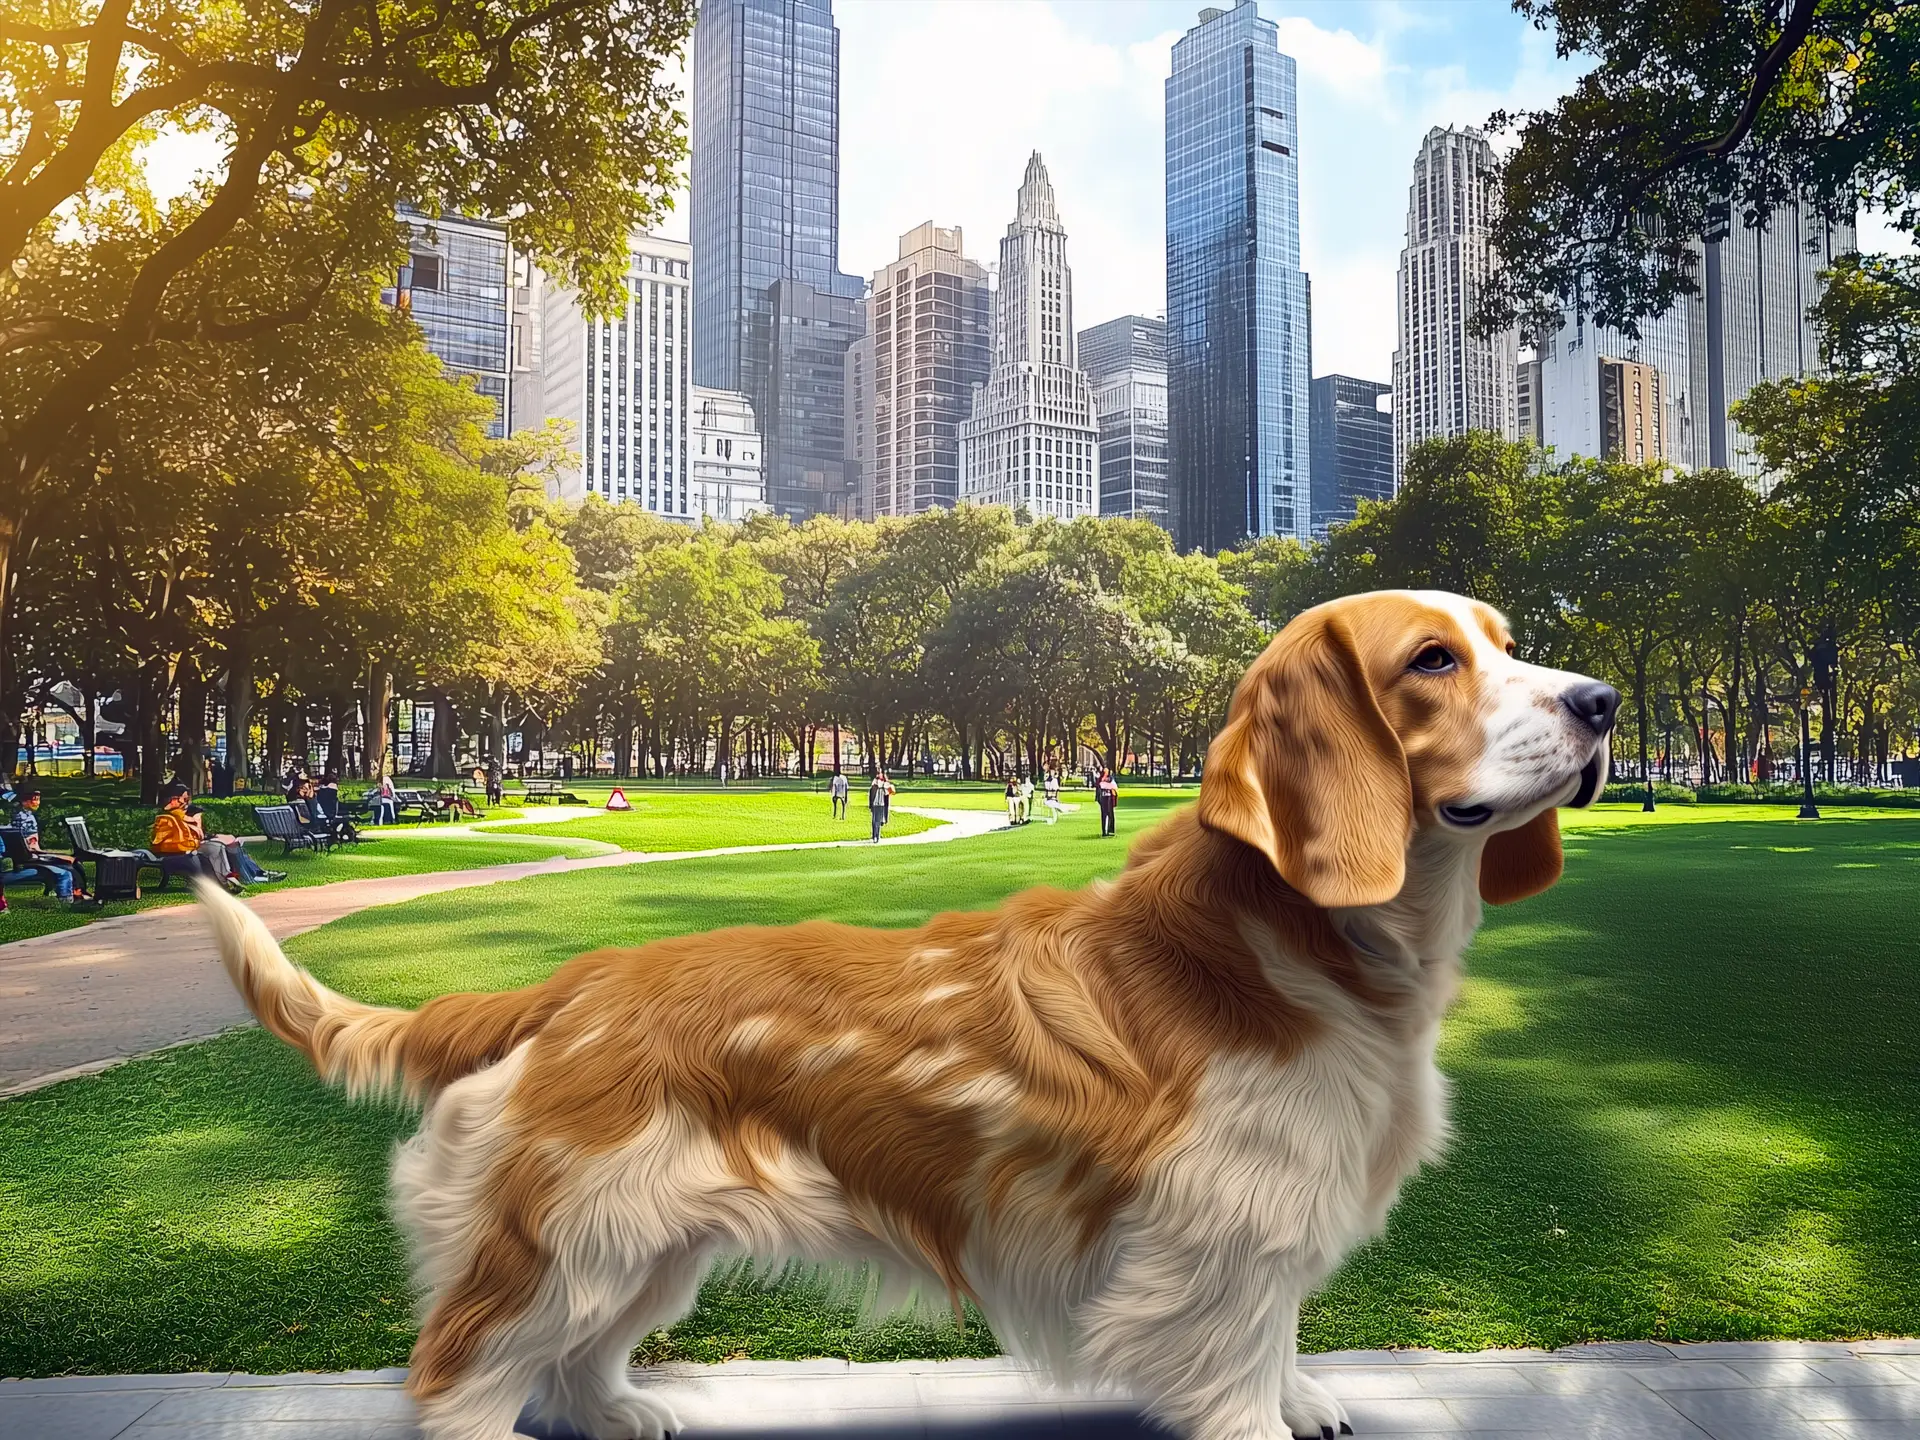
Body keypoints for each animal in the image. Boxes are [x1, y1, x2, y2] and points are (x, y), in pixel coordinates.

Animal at [202, 587, 1620, 1440]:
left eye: (1506, 641)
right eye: (1432, 660)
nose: (1603, 702)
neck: (1303, 941)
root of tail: (573, 981)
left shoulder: (1266, 1232)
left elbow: (1280, 1348)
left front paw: (1314, 1395)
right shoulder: (1221, 1244)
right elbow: (1236, 1383)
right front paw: (1278, 1410)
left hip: (641, 1243)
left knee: (577, 1355)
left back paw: (622, 1413)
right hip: (561, 1236)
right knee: (460, 1371)